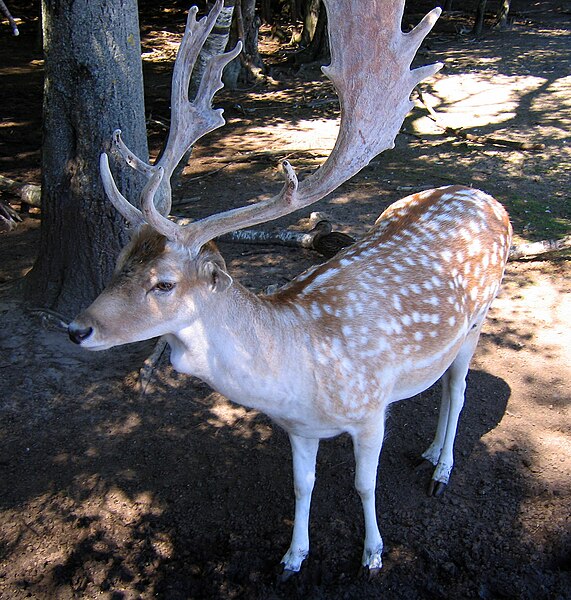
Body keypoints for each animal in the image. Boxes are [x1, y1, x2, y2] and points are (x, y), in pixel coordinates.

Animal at [68, 0, 512, 576]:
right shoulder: (298, 428)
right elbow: (302, 487)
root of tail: (486, 196)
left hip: (479, 318)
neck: (299, 372)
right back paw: (430, 454)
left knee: (457, 390)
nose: (77, 328)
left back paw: (441, 469)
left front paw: (373, 553)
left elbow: (364, 485)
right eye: (119, 261)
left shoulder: (371, 409)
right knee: (442, 388)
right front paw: (293, 556)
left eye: (163, 283)